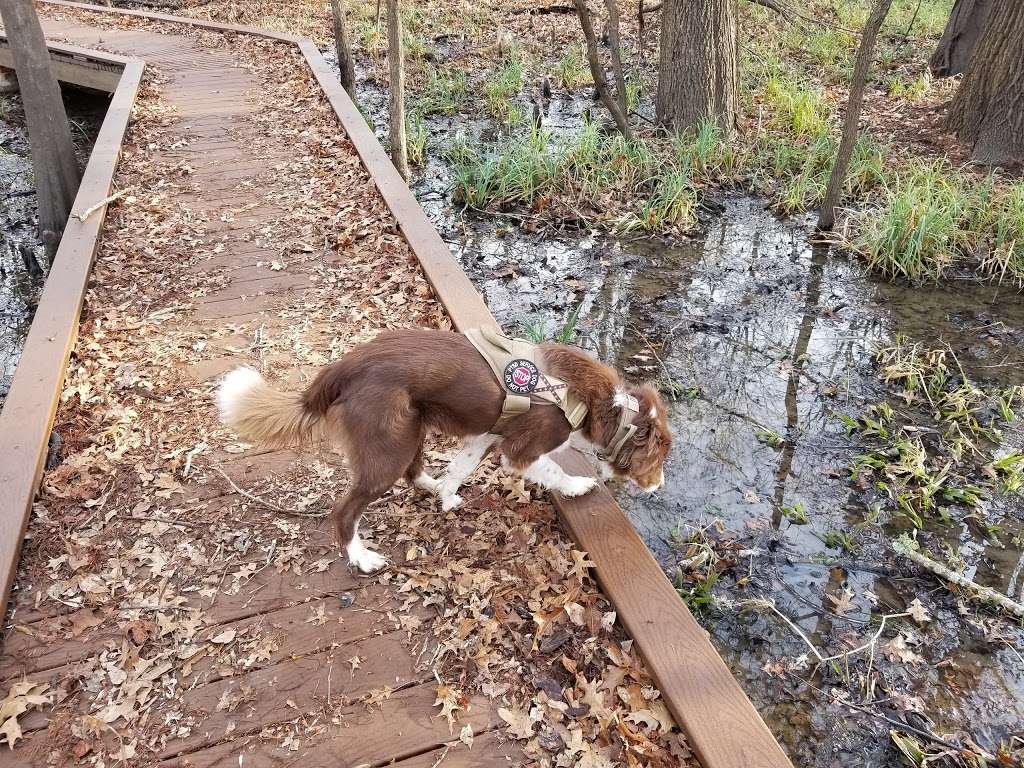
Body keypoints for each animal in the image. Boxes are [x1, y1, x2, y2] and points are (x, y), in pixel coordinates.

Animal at [216, 327, 671, 573]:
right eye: (661, 459)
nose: (660, 486)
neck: (606, 407)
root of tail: (338, 369)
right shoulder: (521, 449)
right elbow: (554, 471)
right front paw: (579, 486)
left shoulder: (486, 436)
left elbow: (461, 467)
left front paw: (448, 496)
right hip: (389, 445)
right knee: (344, 511)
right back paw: (361, 558)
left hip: (411, 427)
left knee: (414, 470)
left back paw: (433, 487)